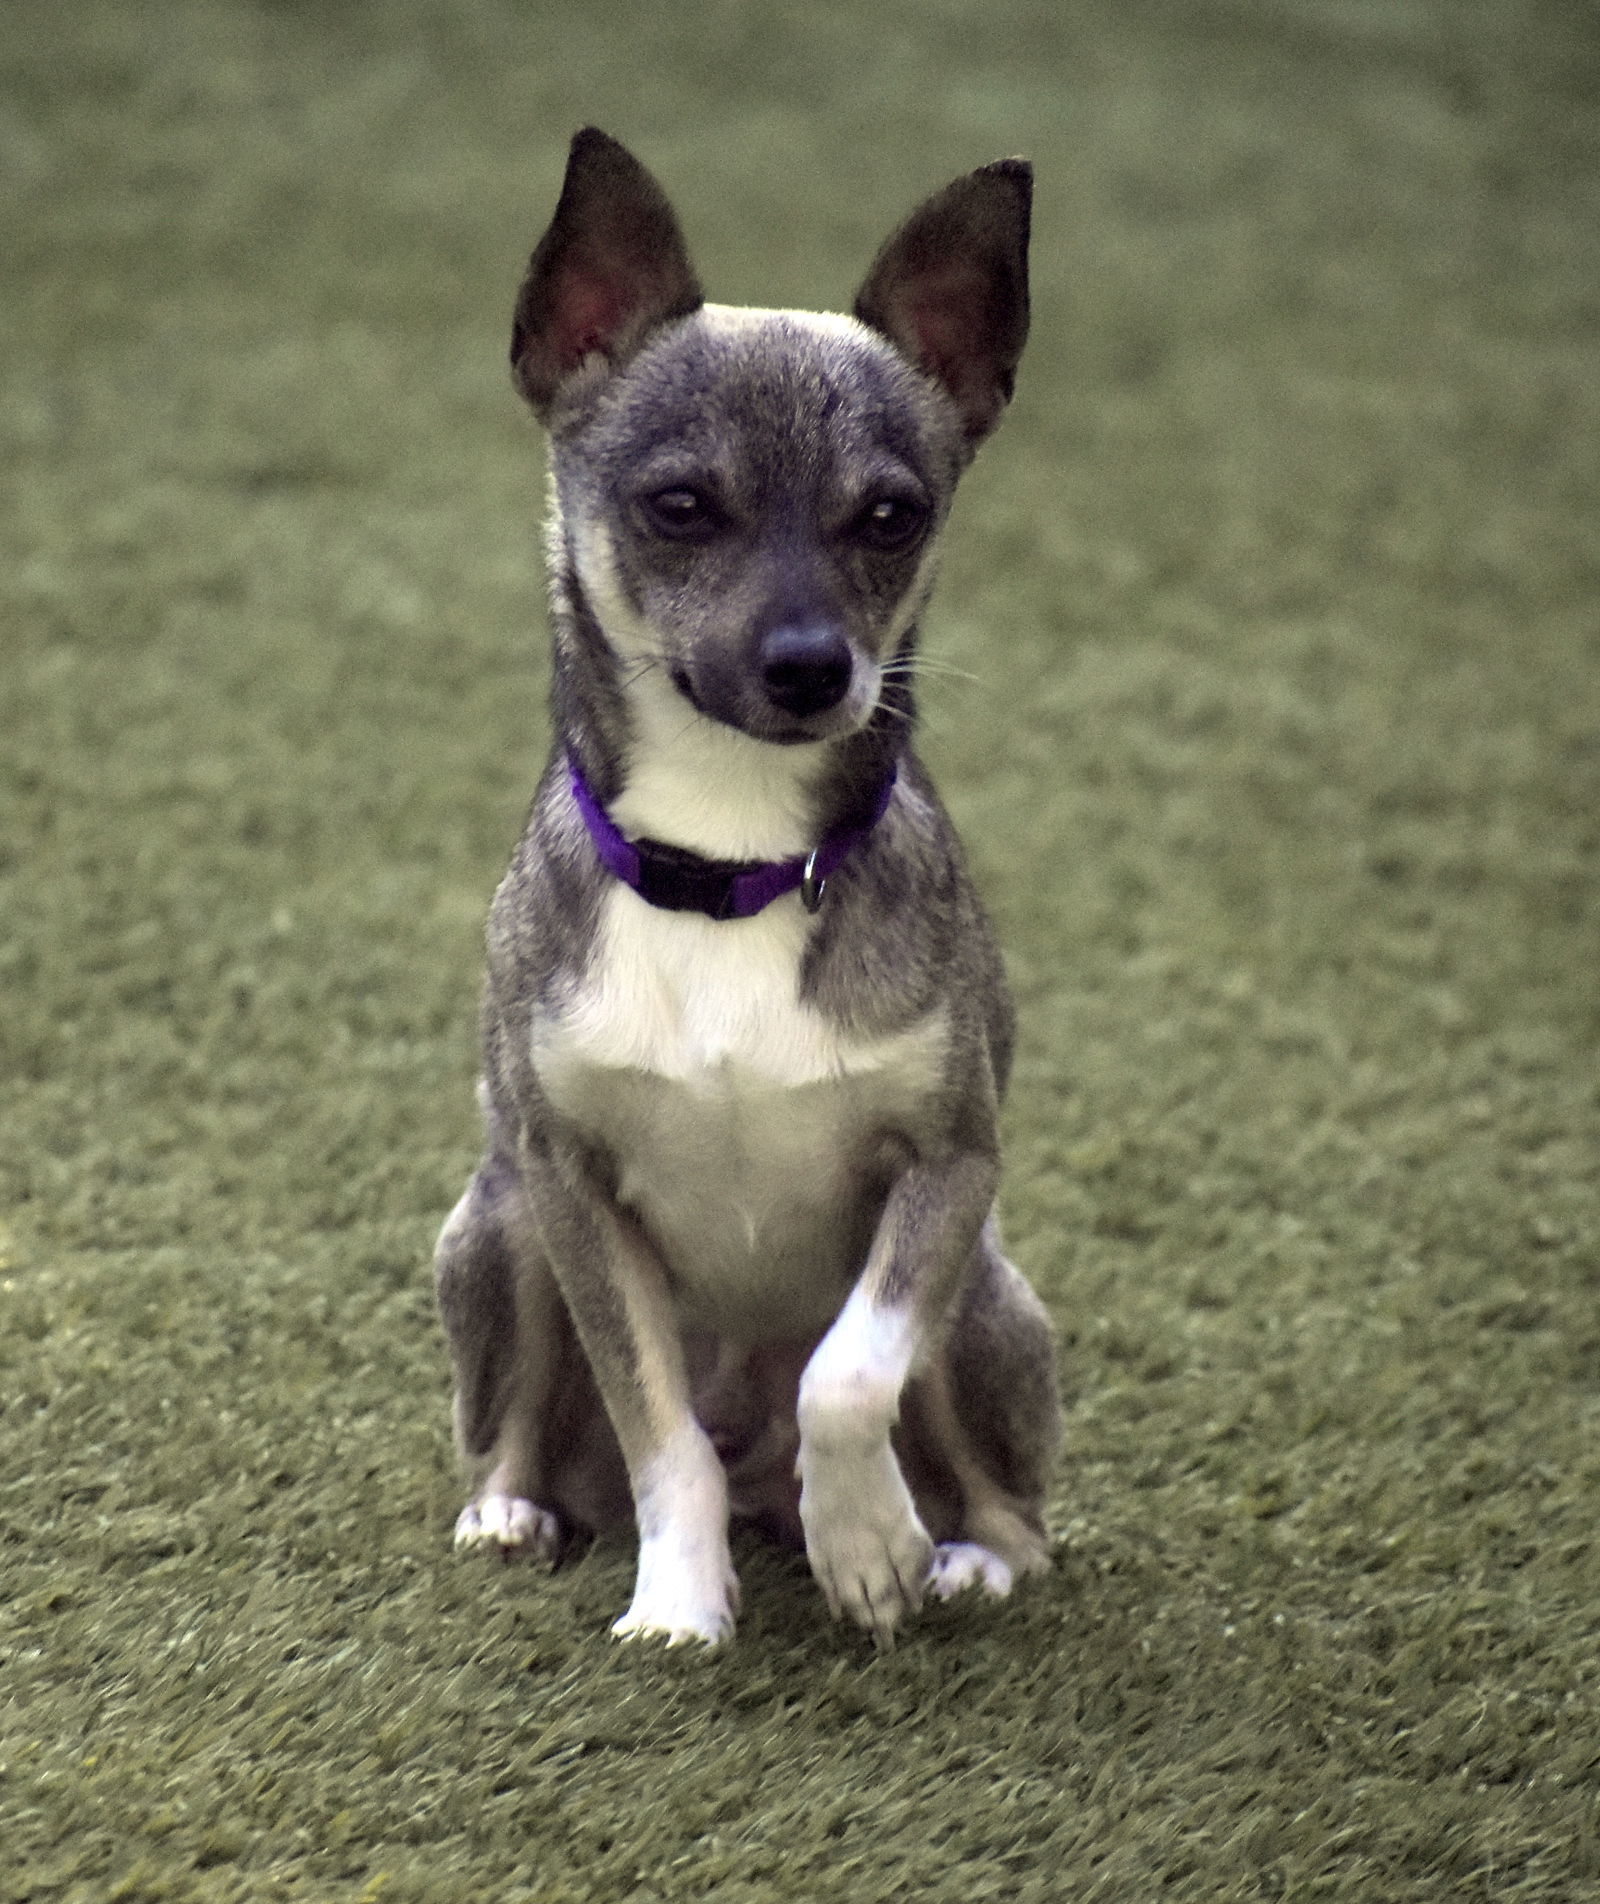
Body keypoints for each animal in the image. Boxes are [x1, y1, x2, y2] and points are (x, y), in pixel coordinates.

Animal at [438, 130, 1059, 1652]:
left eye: (892, 517)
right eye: (678, 507)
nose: (811, 666)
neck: (729, 868)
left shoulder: (951, 1165)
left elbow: (850, 1368)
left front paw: (871, 1541)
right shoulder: (570, 1187)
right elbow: (659, 1430)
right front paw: (679, 1603)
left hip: (985, 1305)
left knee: (1013, 1506)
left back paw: (962, 1555)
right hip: (497, 1224)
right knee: (549, 1435)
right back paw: (511, 1511)